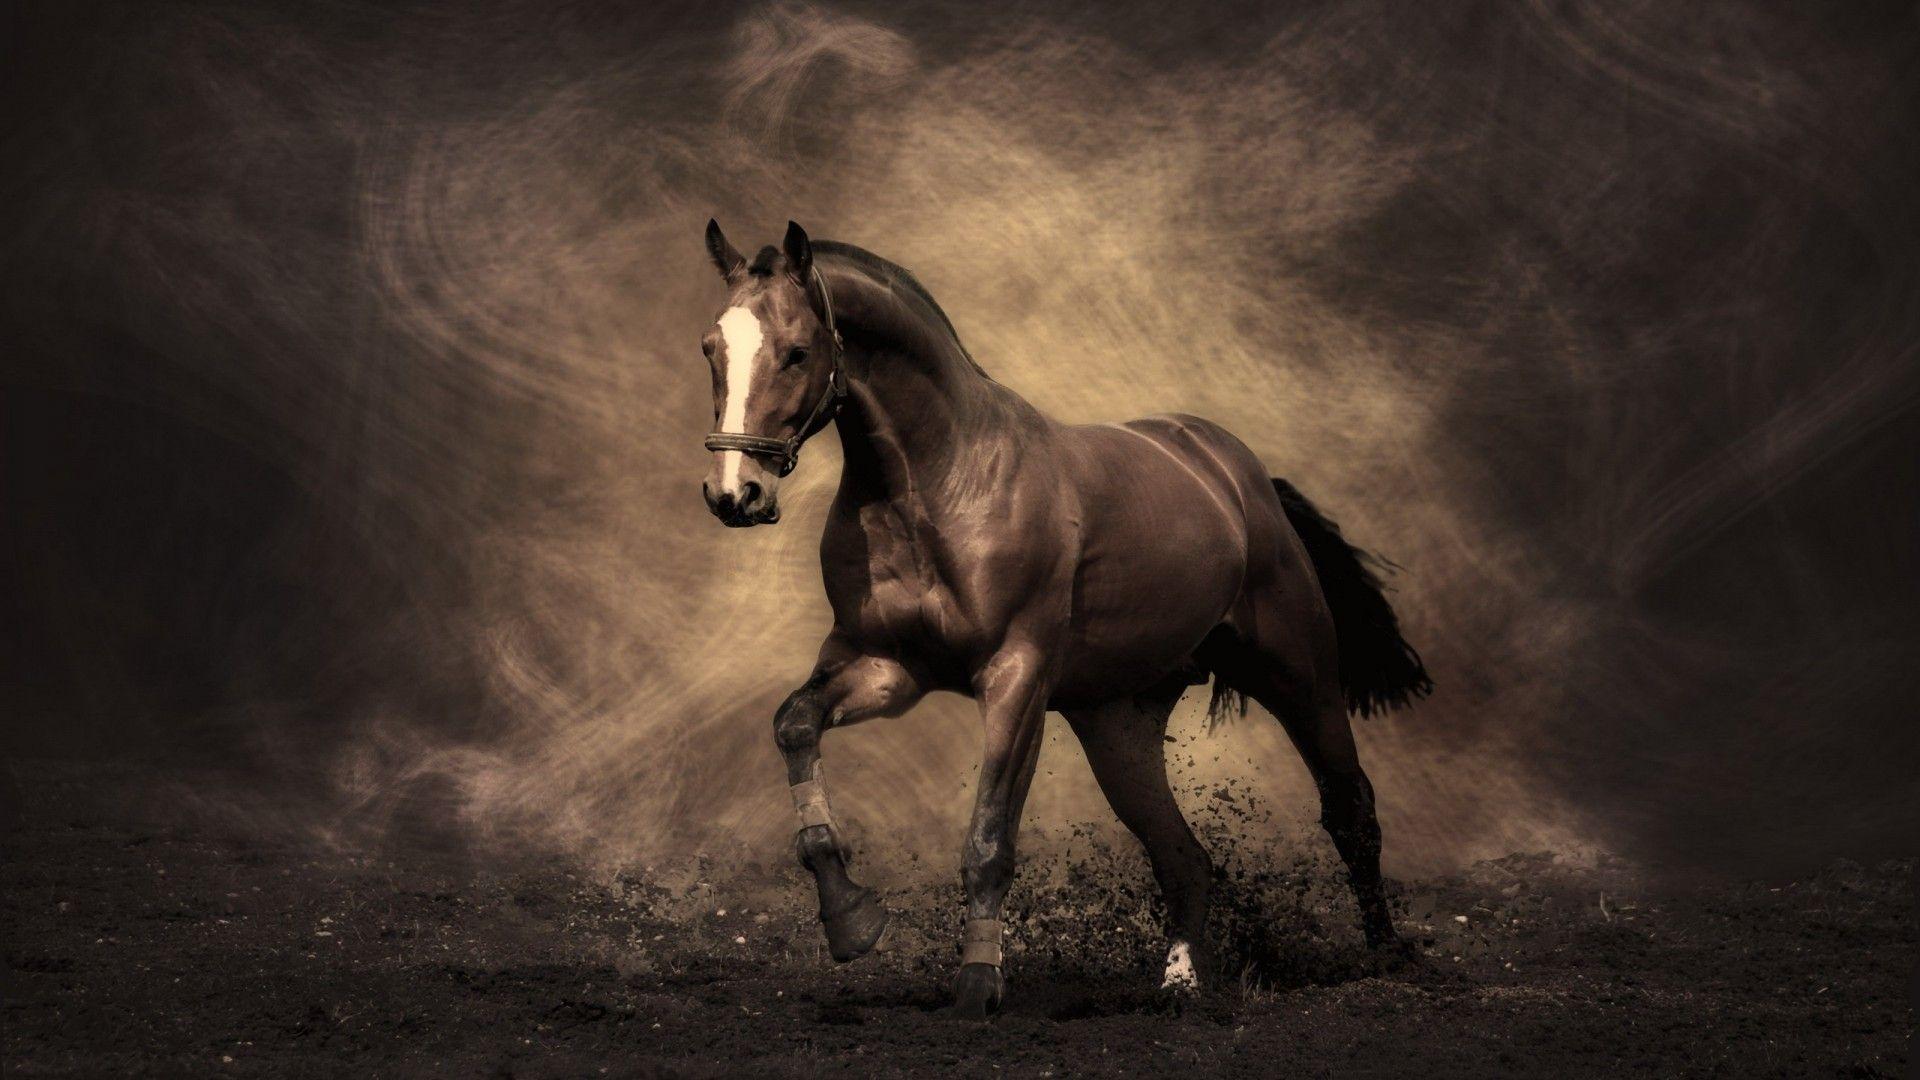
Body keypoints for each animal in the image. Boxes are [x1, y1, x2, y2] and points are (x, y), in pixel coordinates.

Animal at [695, 219, 1431, 1018]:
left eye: (798, 350)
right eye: (711, 348)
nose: (734, 493)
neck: (938, 484)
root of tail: (1242, 477)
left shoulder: (1016, 679)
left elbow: (989, 839)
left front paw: (977, 986)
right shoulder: (887, 667)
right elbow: (795, 726)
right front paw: (852, 921)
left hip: (1299, 677)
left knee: (1350, 809)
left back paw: (1385, 956)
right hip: (1118, 725)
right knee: (1183, 857)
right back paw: (1180, 984)